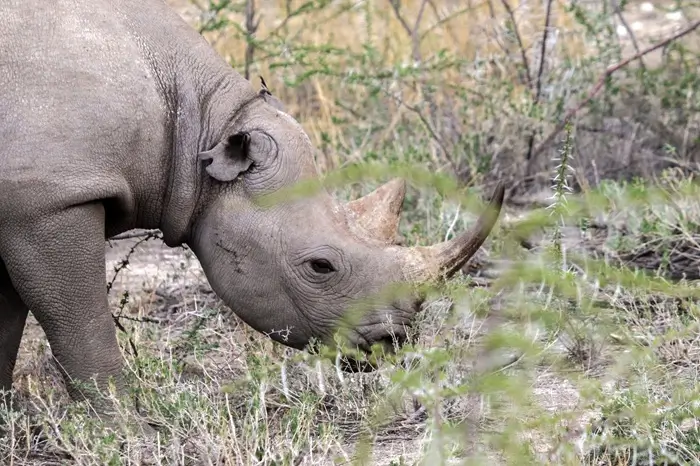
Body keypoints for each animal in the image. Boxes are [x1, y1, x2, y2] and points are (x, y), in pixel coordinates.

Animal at [0, 0, 504, 427]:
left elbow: (7, 324)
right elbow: (83, 327)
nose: (394, 342)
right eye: (321, 266)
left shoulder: (19, 205)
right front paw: (123, 432)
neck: (202, 124)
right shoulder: (49, 199)